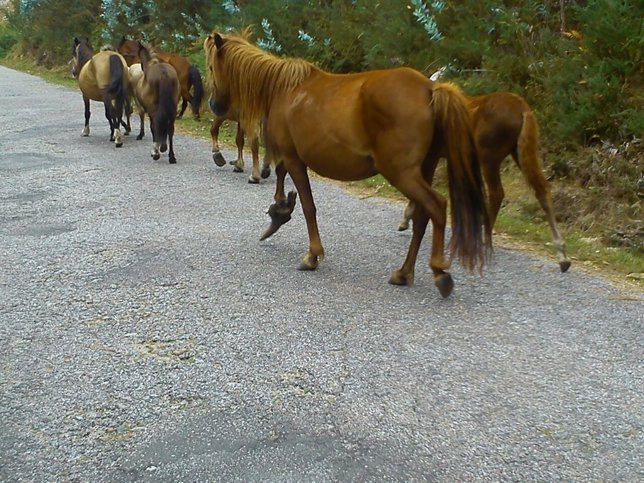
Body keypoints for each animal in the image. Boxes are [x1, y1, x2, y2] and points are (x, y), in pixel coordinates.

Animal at [204, 31, 491, 298]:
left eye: (211, 67)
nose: (214, 104)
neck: (283, 89)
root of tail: (430, 90)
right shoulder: (290, 155)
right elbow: (279, 177)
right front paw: (280, 211)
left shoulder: (295, 158)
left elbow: (308, 205)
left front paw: (312, 254)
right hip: (424, 168)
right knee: (422, 216)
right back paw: (403, 272)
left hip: (401, 173)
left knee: (437, 206)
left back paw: (439, 270)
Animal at [397, 92, 571, 272]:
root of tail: (524, 110)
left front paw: (405, 219)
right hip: (519, 151)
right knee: (541, 190)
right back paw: (563, 256)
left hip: (489, 155)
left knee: (497, 193)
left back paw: (482, 238)